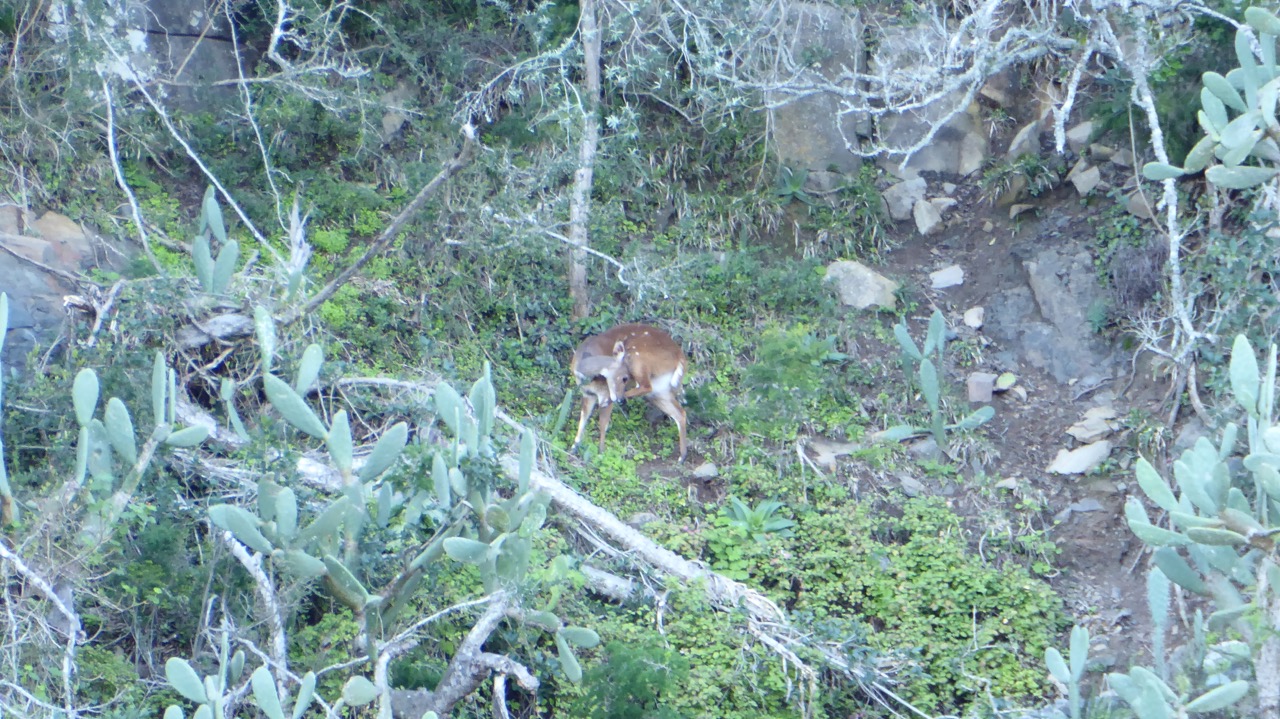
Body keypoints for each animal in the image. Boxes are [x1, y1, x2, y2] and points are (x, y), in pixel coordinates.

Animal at [570, 323, 691, 460]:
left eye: (626, 378)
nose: (618, 398)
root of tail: (680, 357)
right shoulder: (587, 393)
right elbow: (583, 418)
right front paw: (574, 447)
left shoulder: (604, 393)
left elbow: (603, 423)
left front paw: (601, 453)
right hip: (660, 389)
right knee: (680, 413)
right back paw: (682, 457)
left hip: (638, 357)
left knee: (646, 386)